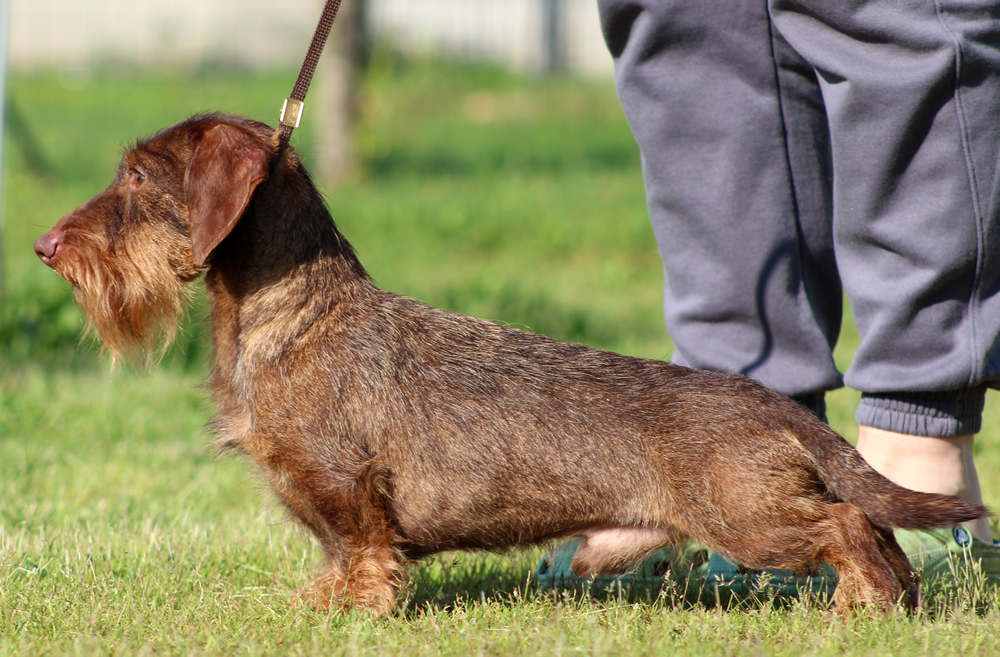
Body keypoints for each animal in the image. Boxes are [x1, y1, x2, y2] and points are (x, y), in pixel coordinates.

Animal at [35, 113, 988, 608]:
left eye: (137, 177)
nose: (45, 247)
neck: (296, 316)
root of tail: (767, 400)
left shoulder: (345, 484)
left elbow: (360, 549)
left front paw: (352, 610)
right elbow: (339, 554)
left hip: (747, 520)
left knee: (846, 526)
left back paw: (860, 602)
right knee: (872, 524)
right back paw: (897, 600)